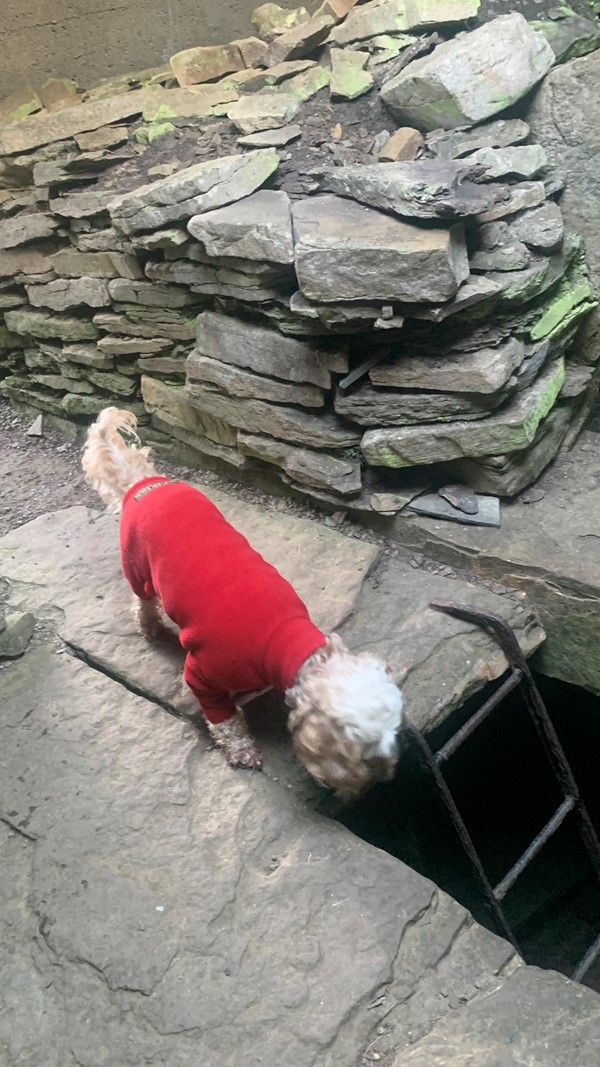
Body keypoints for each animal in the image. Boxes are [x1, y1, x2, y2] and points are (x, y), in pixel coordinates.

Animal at [81, 407, 401, 793]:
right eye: (361, 753)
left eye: (393, 736)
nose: (386, 776)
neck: (291, 643)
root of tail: (145, 483)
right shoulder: (202, 675)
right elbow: (226, 721)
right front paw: (242, 750)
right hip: (138, 568)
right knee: (143, 602)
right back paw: (150, 628)